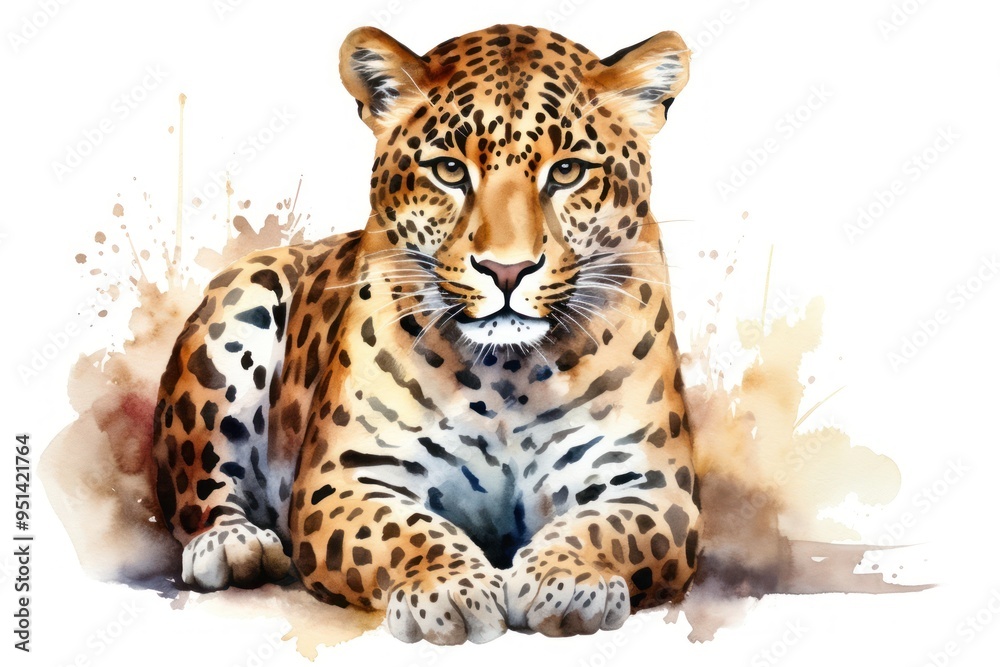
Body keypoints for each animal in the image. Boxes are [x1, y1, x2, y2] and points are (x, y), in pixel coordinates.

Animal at [151, 23, 699, 645]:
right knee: (197, 480)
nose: (506, 270)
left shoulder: (654, 486)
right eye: (450, 171)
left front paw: (565, 578)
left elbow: (599, 528)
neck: (508, 375)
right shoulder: (349, 478)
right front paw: (448, 590)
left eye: (566, 172)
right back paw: (233, 545)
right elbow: (407, 531)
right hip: (241, 305)